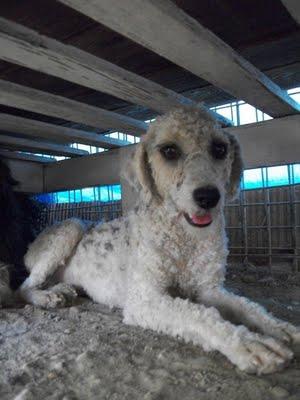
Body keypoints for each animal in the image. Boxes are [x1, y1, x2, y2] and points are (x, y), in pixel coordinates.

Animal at [19, 107, 300, 376]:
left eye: (220, 149)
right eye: (169, 150)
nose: (208, 197)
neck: (184, 237)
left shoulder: (208, 289)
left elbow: (249, 307)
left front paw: (281, 328)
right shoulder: (144, 298)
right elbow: (199, 314)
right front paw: (249, 343)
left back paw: (62, 289)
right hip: (71, 227)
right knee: (24, 287)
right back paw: (47, 297)